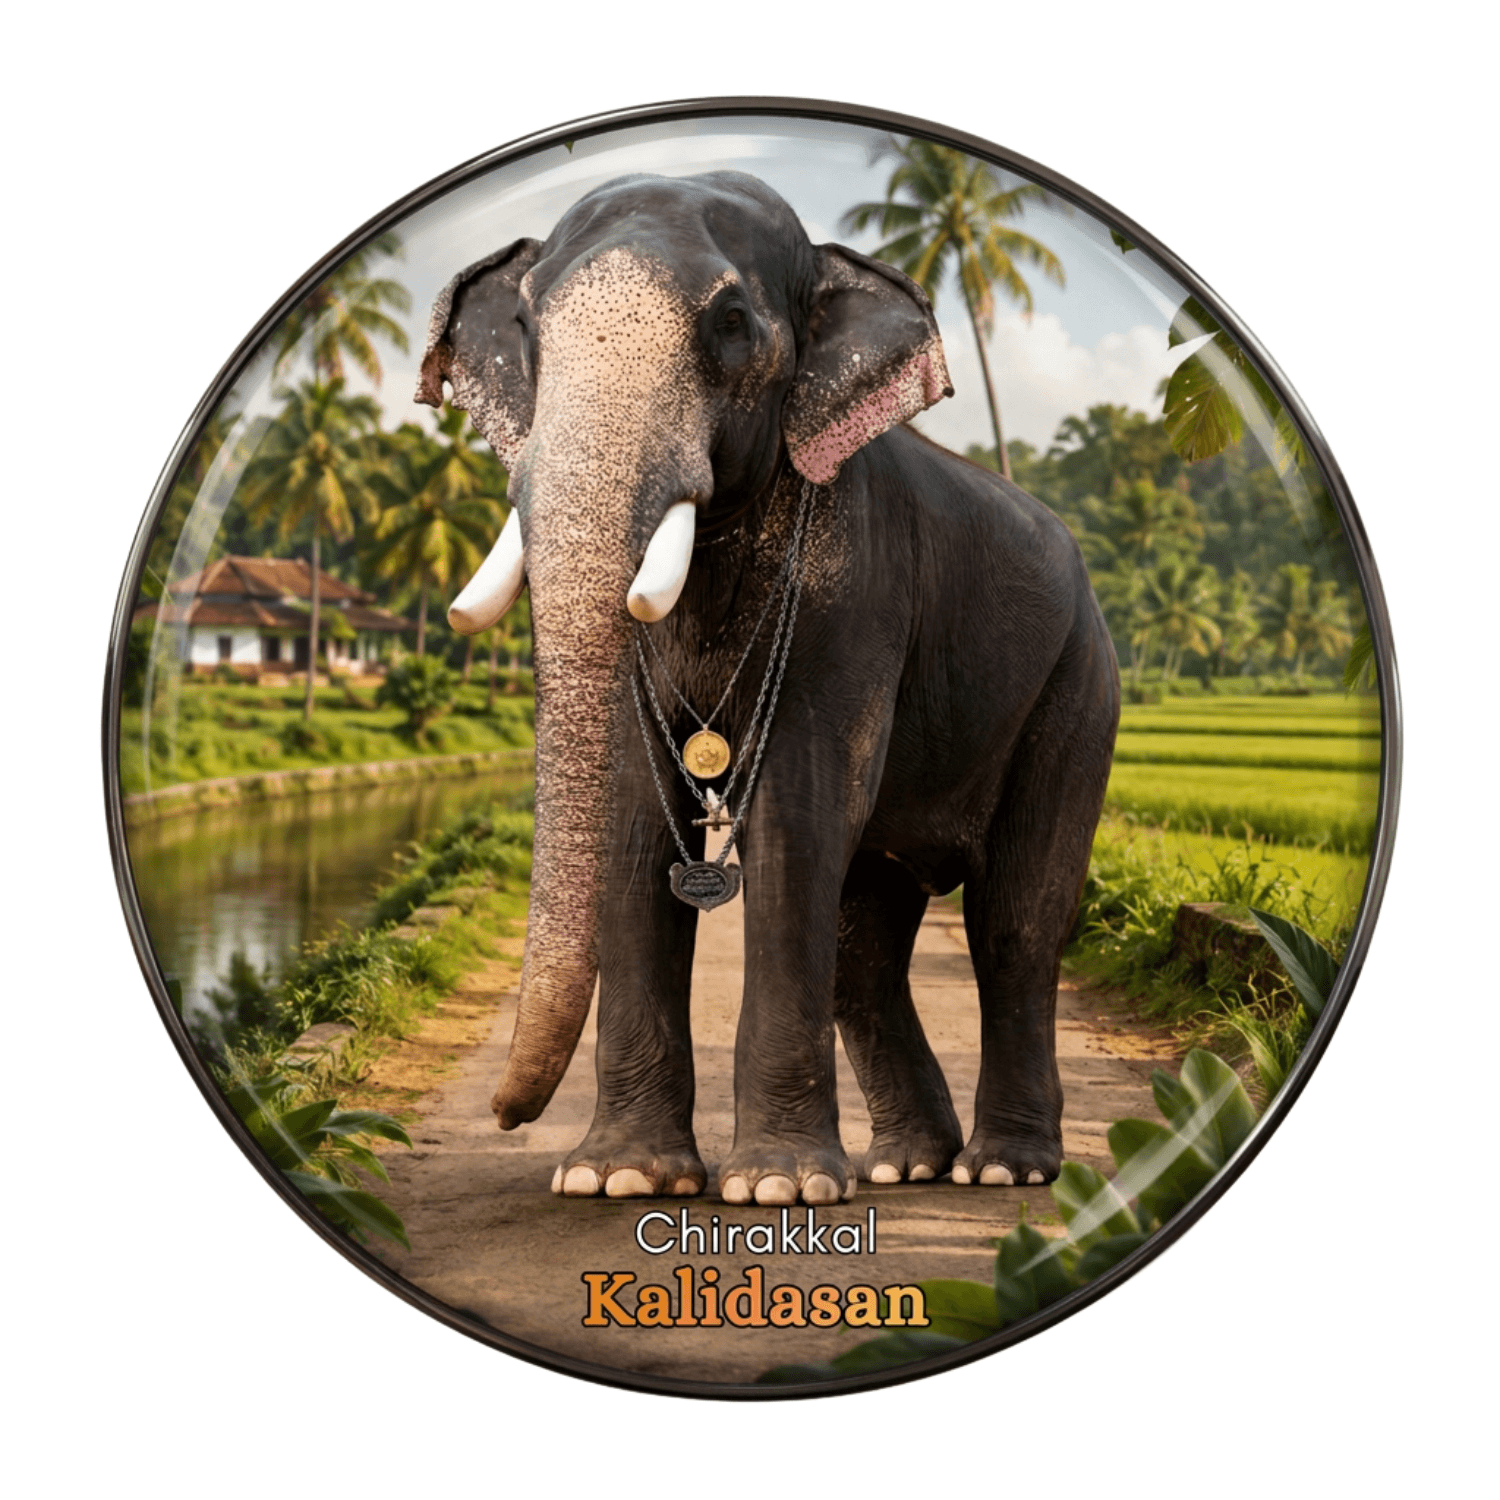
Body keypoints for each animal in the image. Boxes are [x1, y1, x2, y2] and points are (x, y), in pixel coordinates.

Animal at [416, 168, 1119, 1208]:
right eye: (530, 324)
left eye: (732, 322)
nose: (505, 1117)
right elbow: (638, 809)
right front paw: (617, 1179)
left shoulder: (854, 587)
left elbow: (802, 810)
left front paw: (776, 1189)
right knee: (866, 945)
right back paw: (908, 1163)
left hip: (1077, 686)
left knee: (1015, 922)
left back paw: (1003, 1170)